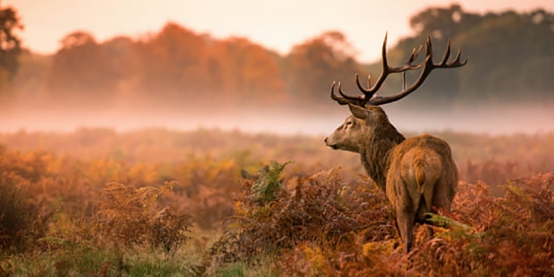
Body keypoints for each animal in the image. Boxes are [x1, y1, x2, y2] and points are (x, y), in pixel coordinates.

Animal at [324, 34, 466, 252]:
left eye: (349, 122)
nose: (327, 138)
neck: (384, 163)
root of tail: (421, 166)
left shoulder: (393, 205)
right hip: (444, 197)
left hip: (403, 203)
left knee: (408, 244)